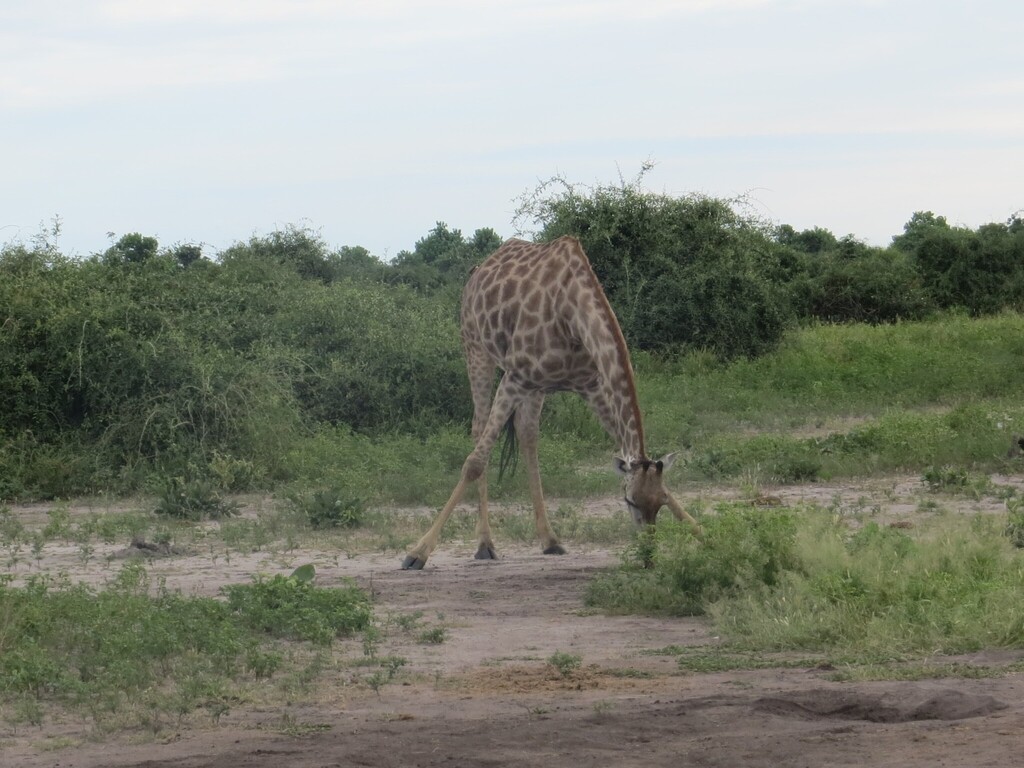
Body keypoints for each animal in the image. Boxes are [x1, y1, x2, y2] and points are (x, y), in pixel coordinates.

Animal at [401, 236, 701, 570]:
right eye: (629, 500)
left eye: (660, 502)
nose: (648, 555)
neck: (572, 315)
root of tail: (475, 273)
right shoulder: (515, 376)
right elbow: (474, 463)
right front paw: (418, 552)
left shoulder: (590, 384)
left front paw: (704, 535)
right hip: (477, 349)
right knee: (479, 430)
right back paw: (485, 544)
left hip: (536, 385)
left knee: (527, 433)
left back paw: (549, 539)